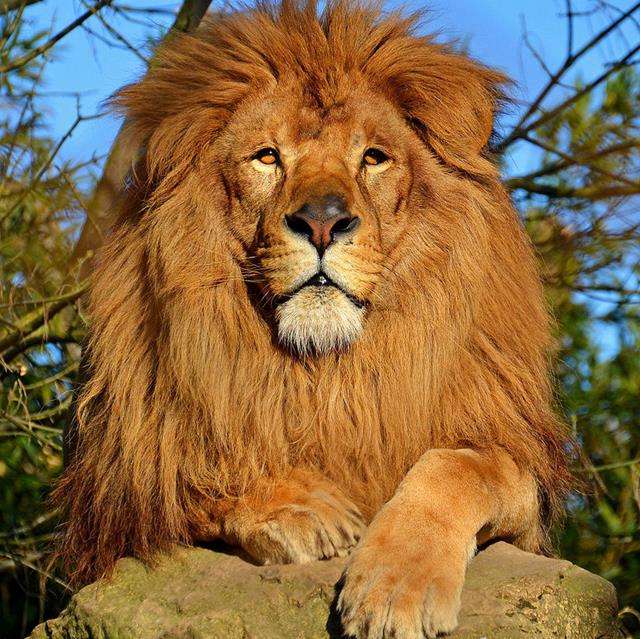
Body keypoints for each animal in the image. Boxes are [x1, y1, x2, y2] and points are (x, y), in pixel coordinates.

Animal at [55, 1, 571, 637]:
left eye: (373, 157)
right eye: (267, 157)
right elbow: (192, 474)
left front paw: (398, 587)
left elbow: (457, 467)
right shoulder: (121, 484)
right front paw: (304, 506)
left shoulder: (517, 476)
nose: (322, 223)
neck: (327, 373)